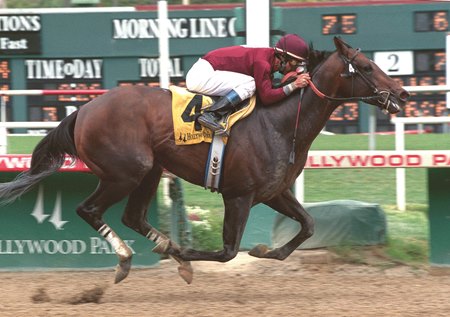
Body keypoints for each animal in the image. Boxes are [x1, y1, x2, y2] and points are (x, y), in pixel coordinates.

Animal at [0, 36, 410, 282]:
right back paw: (129, 257)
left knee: (132, 216)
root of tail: (82, 110)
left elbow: (308, 225)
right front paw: (186, 252)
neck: (281, 123)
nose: (403, 93)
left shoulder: (273, 191)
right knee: (89, 210)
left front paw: (265, 249)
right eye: (367, 67)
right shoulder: (239, 195)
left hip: (150, 170)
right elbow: (227, 252)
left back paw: (163, 249)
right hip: (125, 172)